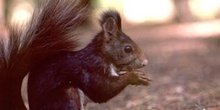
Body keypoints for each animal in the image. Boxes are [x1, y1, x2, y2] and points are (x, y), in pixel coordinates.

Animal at [0, 0, 151, 109]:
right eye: (127, 48)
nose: (145, 62)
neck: (102, 55)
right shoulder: (89, 69)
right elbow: (102, 90)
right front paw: (135, 76)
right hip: (67, 94)